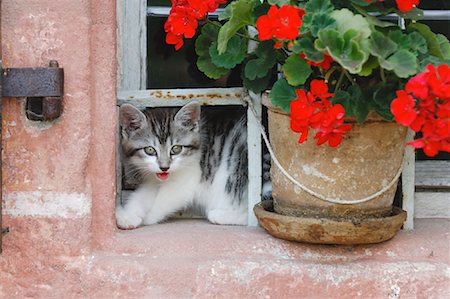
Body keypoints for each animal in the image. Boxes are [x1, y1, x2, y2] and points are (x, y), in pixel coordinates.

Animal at [116, 102, 251, 229]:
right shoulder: (153, 178)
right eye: (150, 150)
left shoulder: (189, 178)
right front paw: (127, 216)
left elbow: (166, 199)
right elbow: (142, 194)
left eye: (176, 149)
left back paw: (219, 215)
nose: (164, 167)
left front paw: (147, 217)